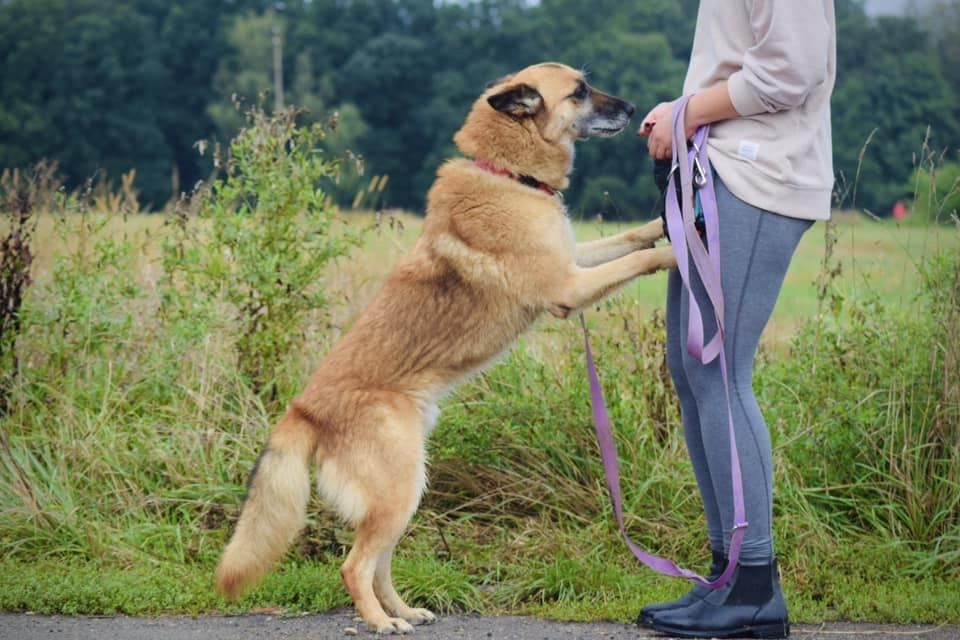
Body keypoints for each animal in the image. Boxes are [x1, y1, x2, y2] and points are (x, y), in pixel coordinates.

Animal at [214, 62, 680, 632]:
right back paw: (381, 622)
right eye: (579, 92)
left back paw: (404, 611)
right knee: (354, 565)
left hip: (407, 490)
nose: (636, 111)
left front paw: (665, 222)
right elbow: (638, 260)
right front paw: (679, 251)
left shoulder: (573, 262)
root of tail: (303, 410)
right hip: (397, 491)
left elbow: (629, 241)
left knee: (379, 563)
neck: (507, 173)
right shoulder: (568, 286)